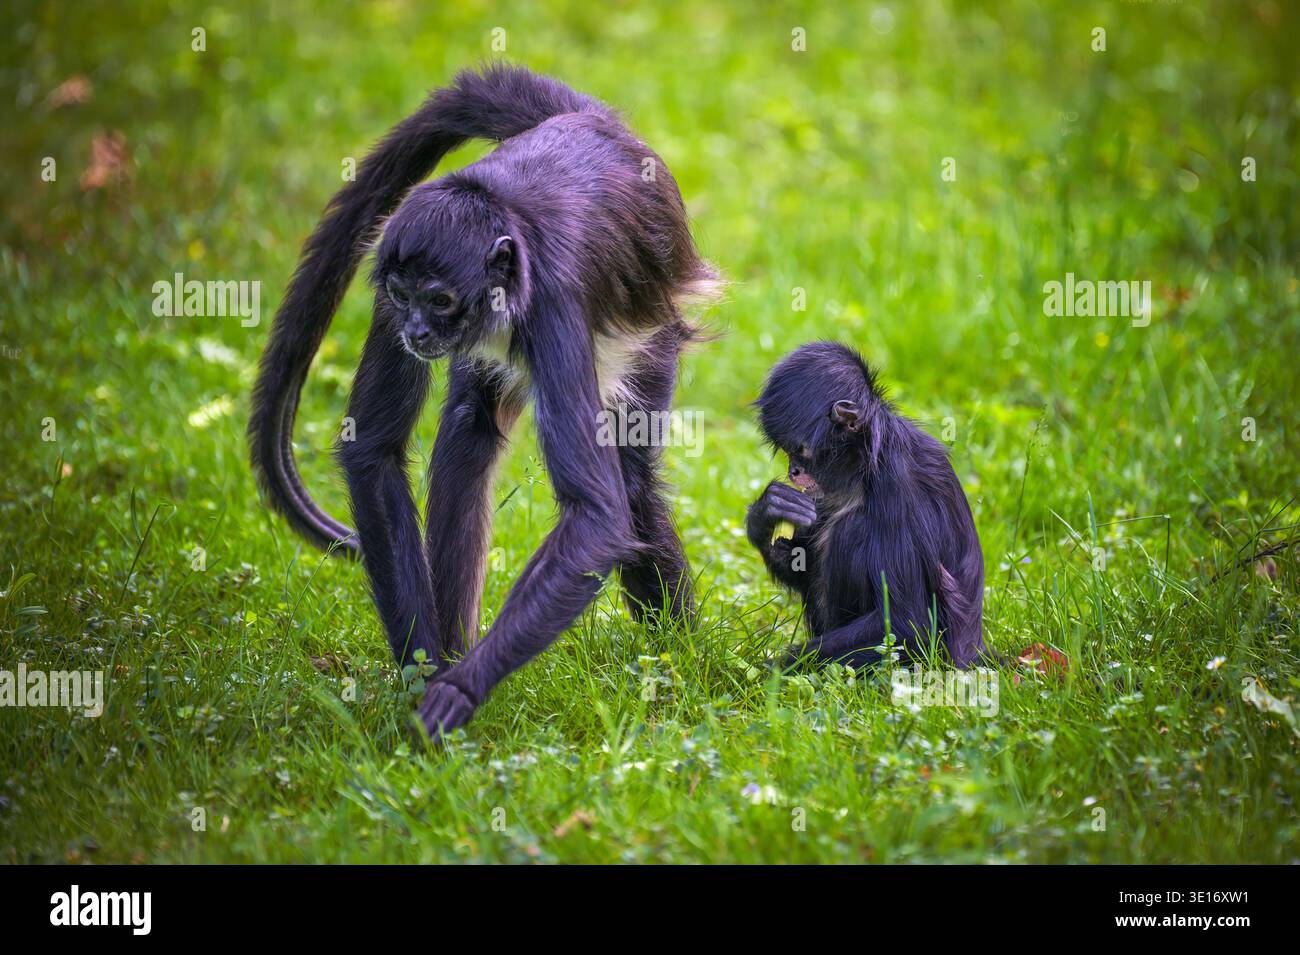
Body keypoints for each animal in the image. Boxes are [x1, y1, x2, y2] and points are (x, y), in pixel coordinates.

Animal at [248, 65, 719, 740]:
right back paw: (455, 644)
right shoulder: (391, 261)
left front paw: (459, 689)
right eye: (403, 295)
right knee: (469, 443)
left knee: (632, 477)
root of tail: (589, 120)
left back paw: (673, 658)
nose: (417, 331)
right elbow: (373, 453)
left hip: (649, 329)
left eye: (440, 300)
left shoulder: (553, 303)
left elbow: (600, 516)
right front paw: (426, 676)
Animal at [745, 342, 989, 670]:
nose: (793, 471)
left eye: (799, 450)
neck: (866, 464)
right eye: (786, 451)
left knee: (850, 527)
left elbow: (909, 624)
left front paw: (774, 670)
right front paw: (765, 514)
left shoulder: (897, 480)